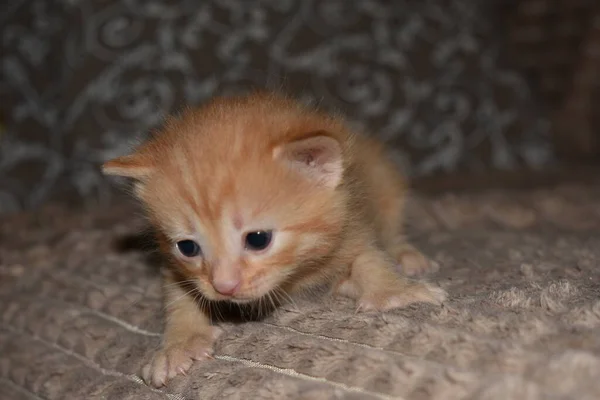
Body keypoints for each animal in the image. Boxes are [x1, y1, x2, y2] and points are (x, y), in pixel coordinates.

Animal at [102, 91, 446, 388]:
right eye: (187, 247)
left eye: (258, 239)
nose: (224, 287)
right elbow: (180, 293)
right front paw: (181, 344)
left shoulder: (352, 220)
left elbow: (369, 256)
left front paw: (395, 292)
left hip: (385, 183)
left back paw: (406, 256)